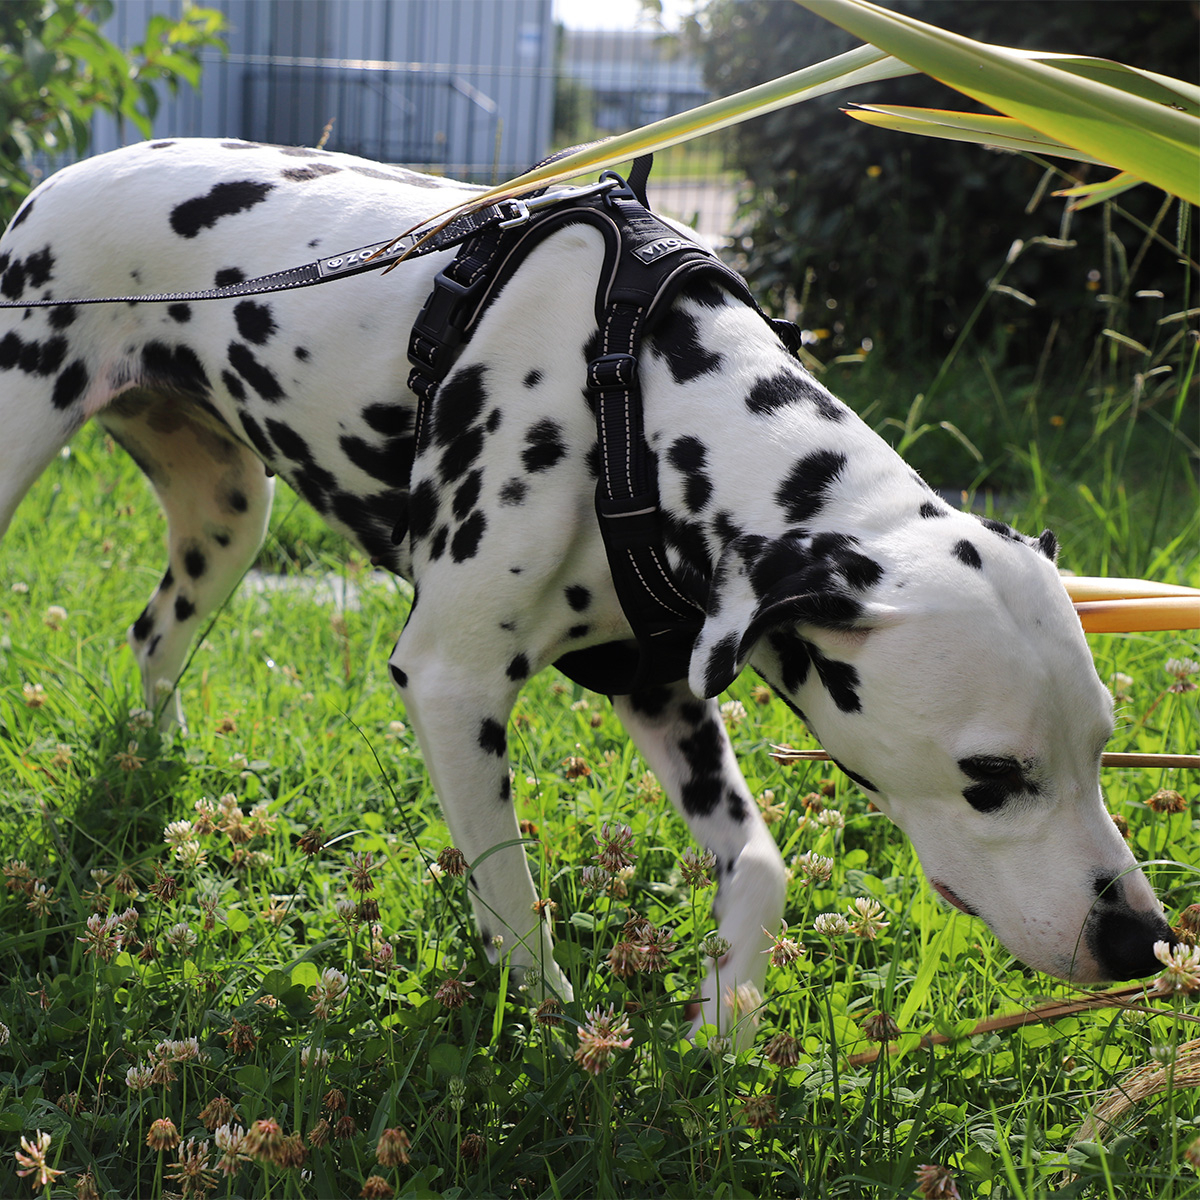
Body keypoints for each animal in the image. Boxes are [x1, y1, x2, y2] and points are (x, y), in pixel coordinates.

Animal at [0, 140, 1166, 1036]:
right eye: (992, 775)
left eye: (1105, 747)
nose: (1146, 942)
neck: (639, 395)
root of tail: (64, 177)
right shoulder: (454, 684)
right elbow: (515, 903)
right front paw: (557, 1036)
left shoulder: (663, 688)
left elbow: (762, 867)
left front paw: (721, 1022)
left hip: (230, 514)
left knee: (155, 638)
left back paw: (160, 763)